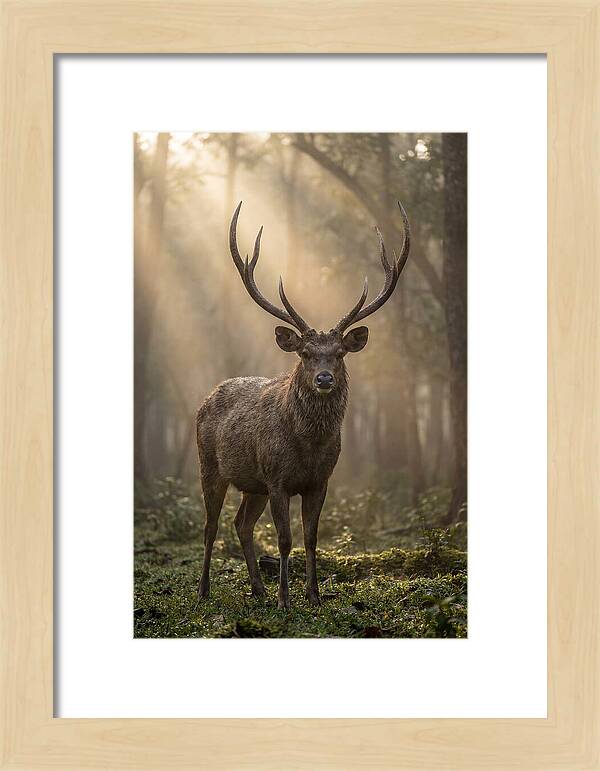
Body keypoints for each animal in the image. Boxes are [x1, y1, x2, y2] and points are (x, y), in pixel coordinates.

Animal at [196, 200, 410, 609]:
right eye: (306, 354)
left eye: (340, 353)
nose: (324, 379)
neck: (307, 447)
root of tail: (207, 396)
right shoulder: (277, 478)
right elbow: (285, 539)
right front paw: (285, 600)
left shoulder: (320, 481)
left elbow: (311, 538)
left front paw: (313, 595)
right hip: (211, 466)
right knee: (211, 525)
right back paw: (203, 591)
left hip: (253, 484)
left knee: (241, 524)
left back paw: (257, 589)